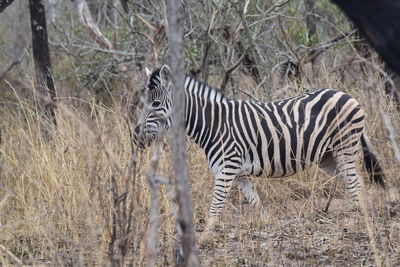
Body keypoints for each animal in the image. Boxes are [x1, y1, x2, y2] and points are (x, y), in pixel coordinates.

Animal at [133, 66, 386, 231]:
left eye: (155, 104)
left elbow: (215, 210)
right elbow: (256, 203)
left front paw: (204, 239)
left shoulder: (226, 170)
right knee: (355, 184)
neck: (213, 124)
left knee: (355, 184)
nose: (136, 137)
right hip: (329, 156)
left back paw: (357, 220)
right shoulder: (238, 174)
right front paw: (268, 226)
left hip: (344, 146)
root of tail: (346, 94)